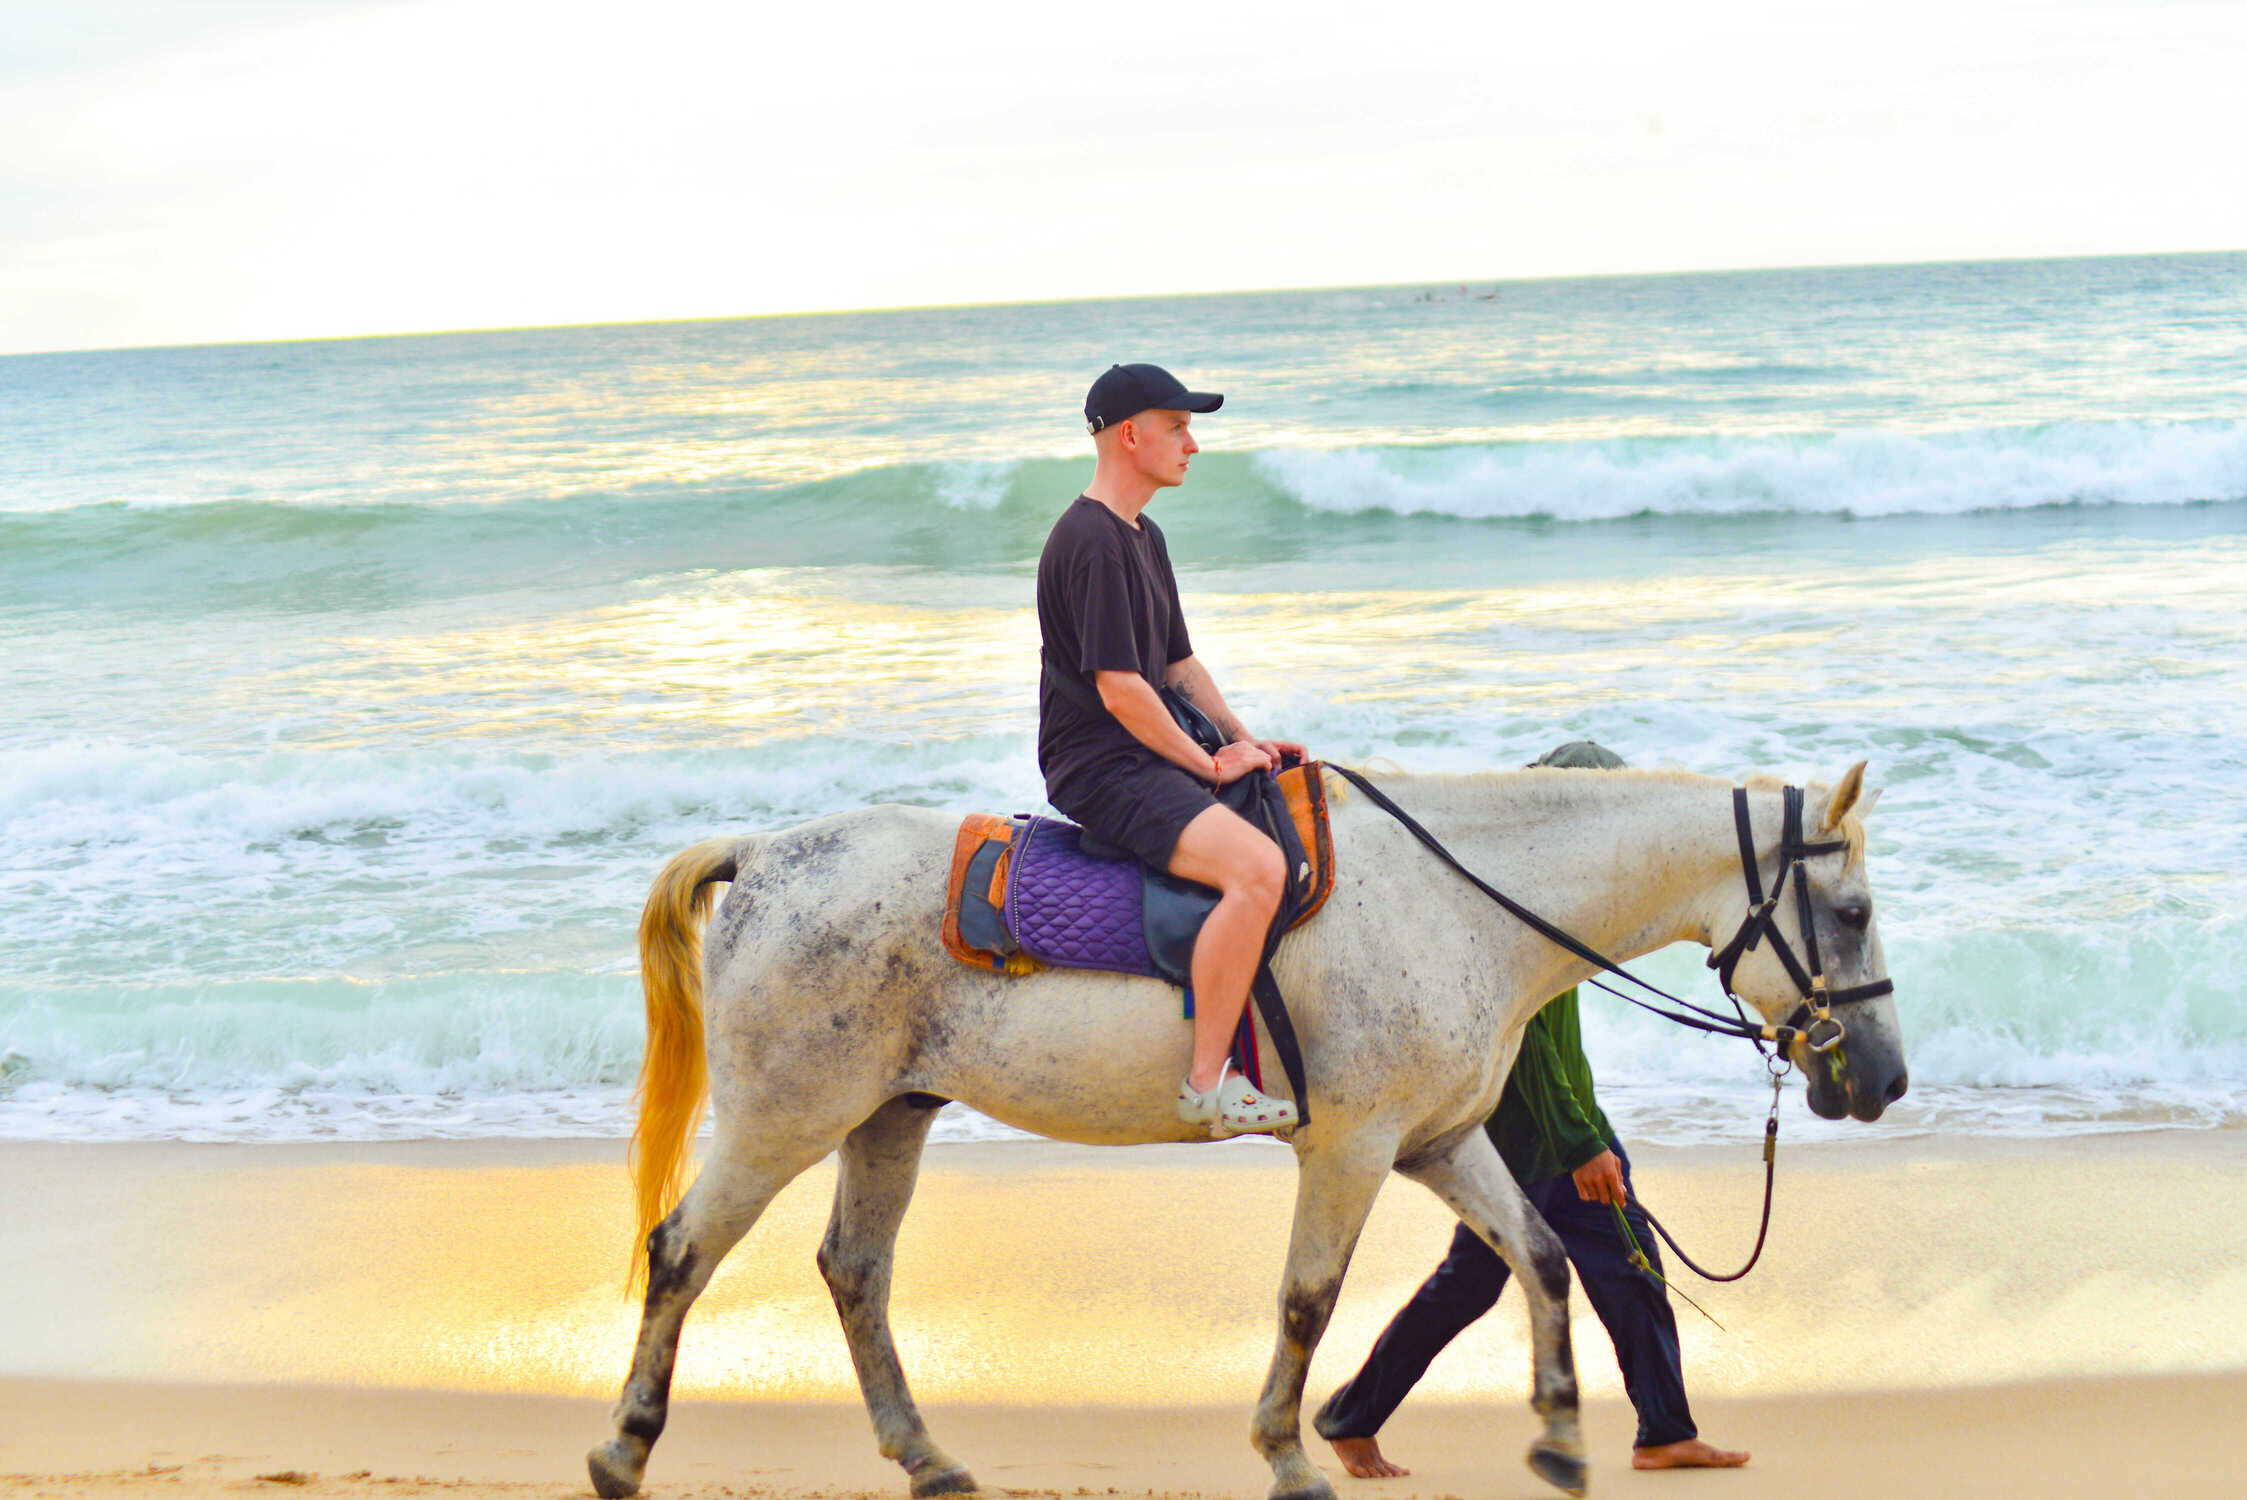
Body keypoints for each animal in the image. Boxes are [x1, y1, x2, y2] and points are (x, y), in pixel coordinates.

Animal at [588, 767, 1905, 1500]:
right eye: (1849, 912)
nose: (1884, 1079)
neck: (1456, 900)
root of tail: (764, 855)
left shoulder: (1439, 1143)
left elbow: (1538, 1257)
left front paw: (1563, 1440)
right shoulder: (1354, 1150)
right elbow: (1308, 1302)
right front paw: (1288, 1455)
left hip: (886, 1118)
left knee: (855, 1273)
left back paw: (928, 1459)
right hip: (784, 1118)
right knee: (680, 1253)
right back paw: (623, 1452)